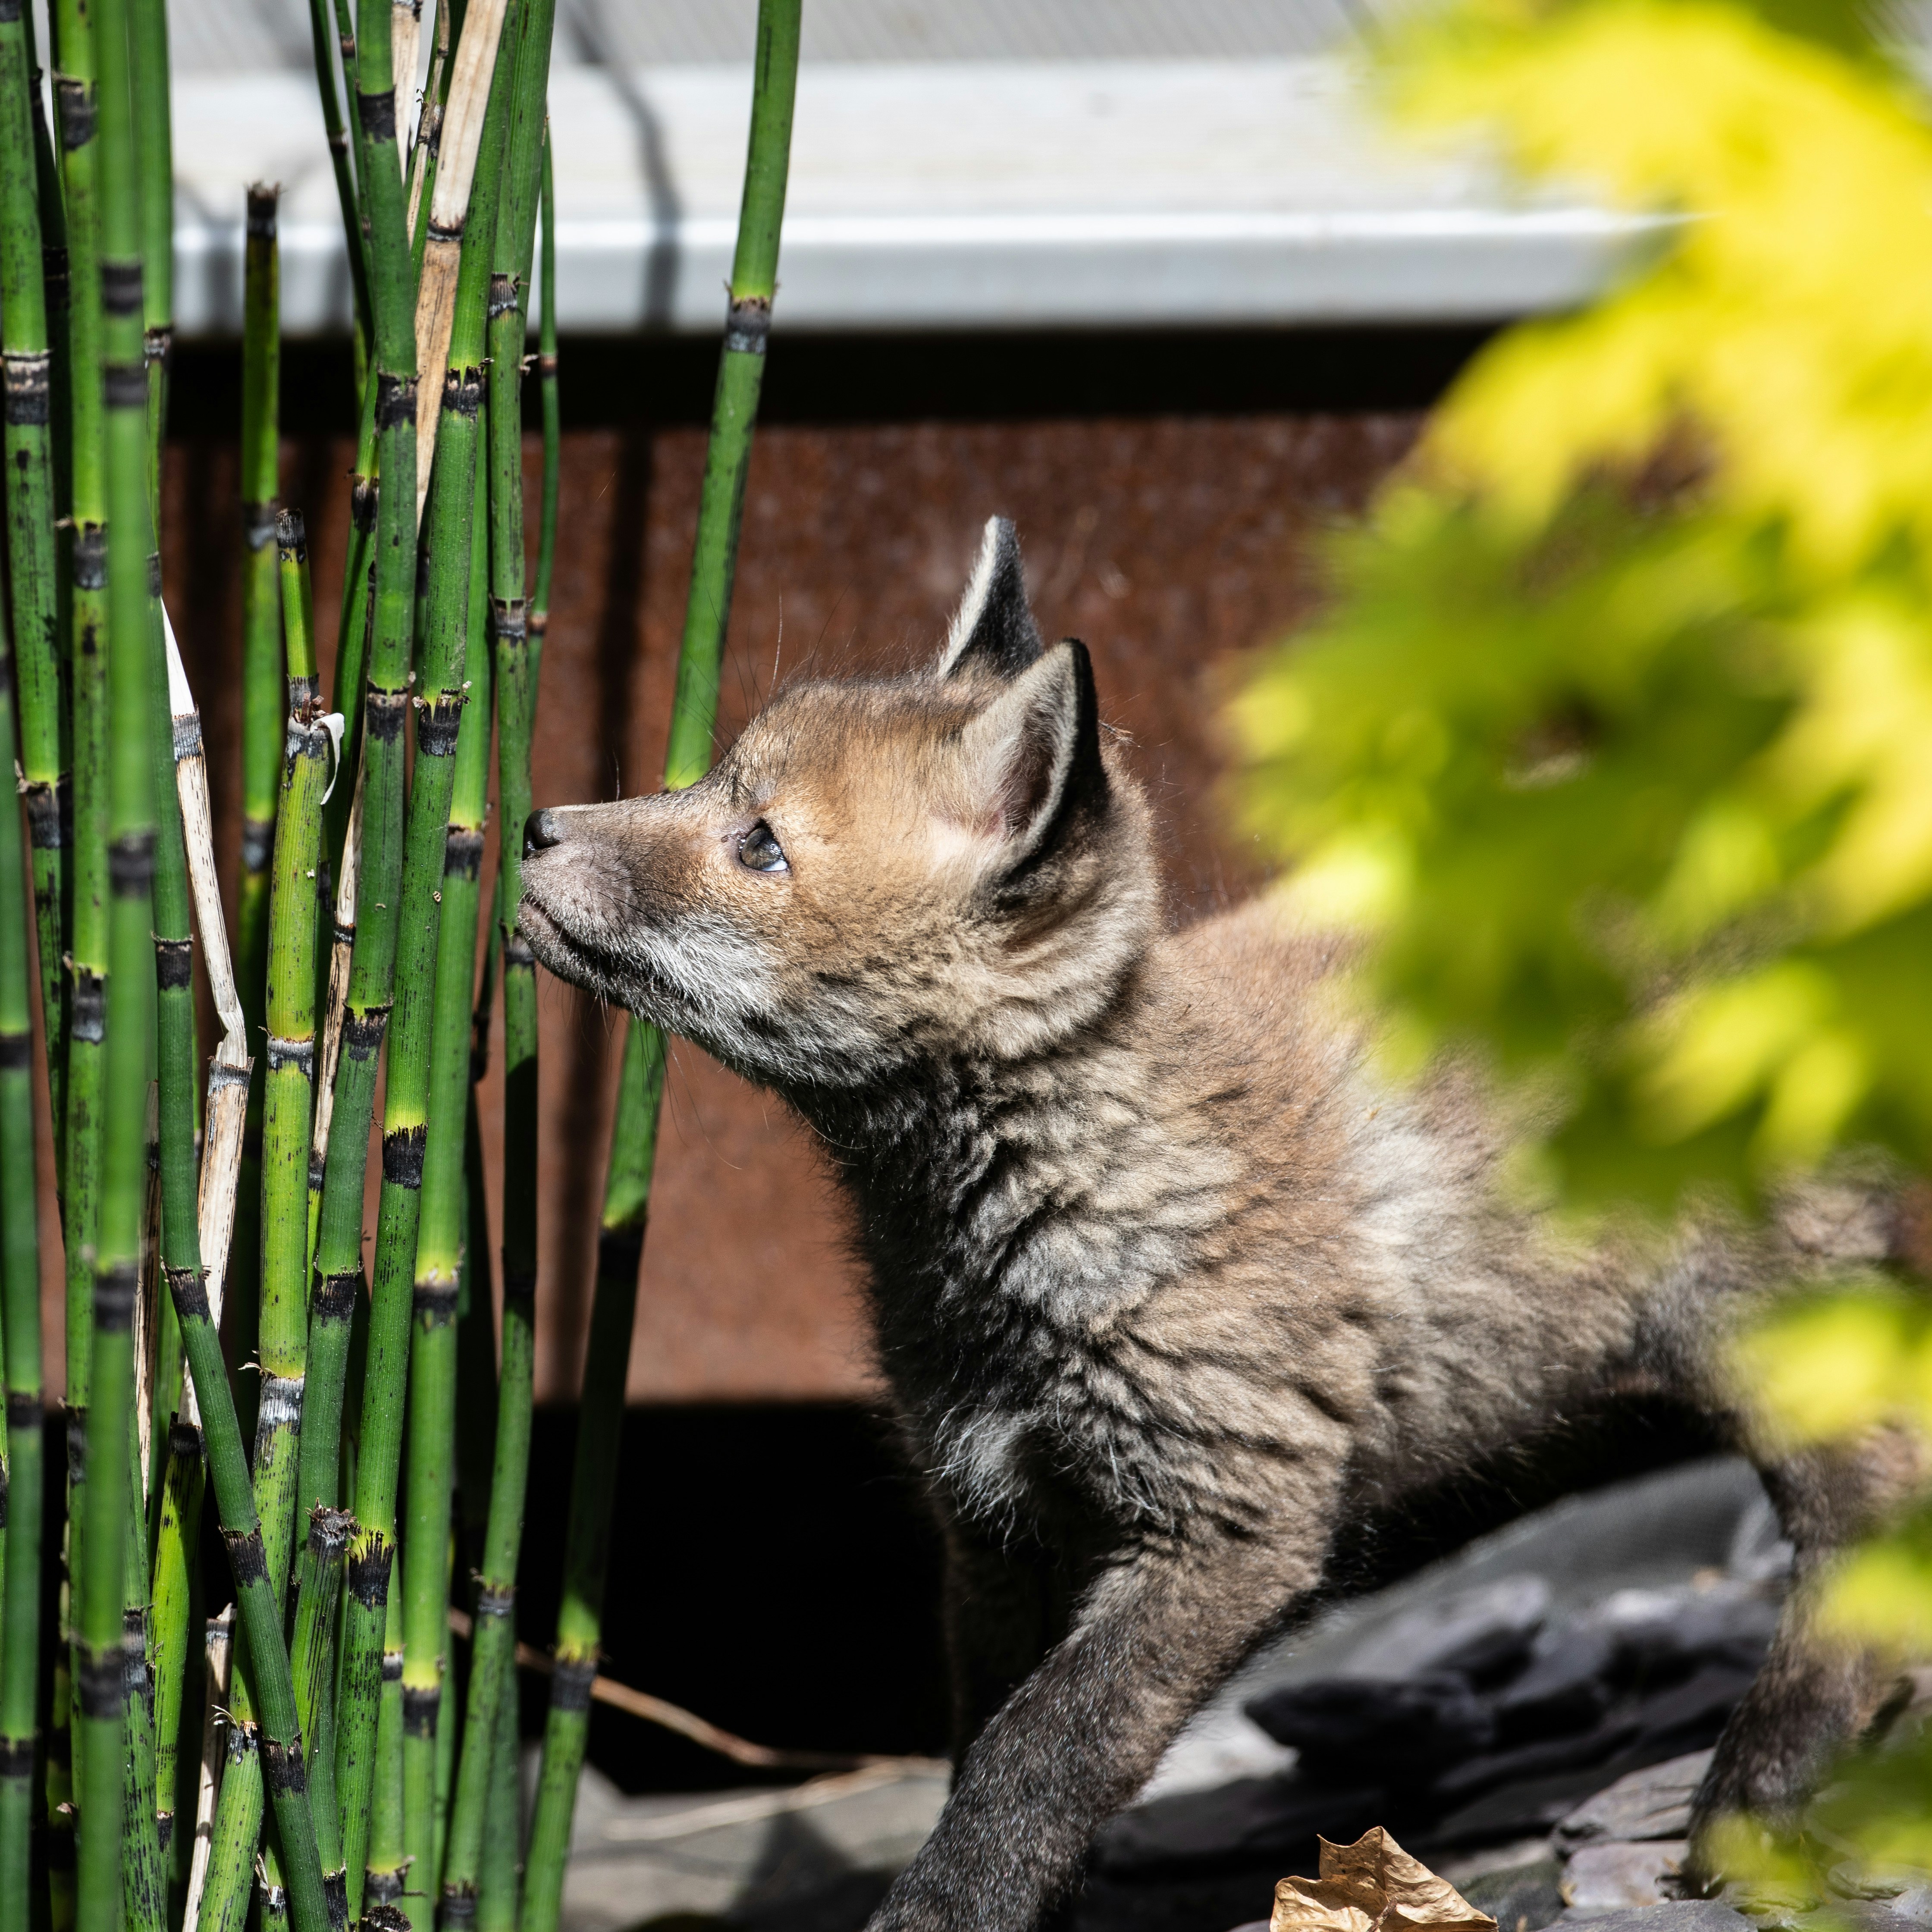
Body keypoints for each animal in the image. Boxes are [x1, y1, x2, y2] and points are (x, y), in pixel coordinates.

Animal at [518, 517, 1923, 1932]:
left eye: (759, 845)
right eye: (714, 785)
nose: (529, 825)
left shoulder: (1229, 1520)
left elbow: (1033, 1762)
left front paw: (942, 1911)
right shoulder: (996, 1524)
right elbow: (990, 1749)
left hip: (1757, 1334)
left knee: (1874, 1506)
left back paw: (1759, 1787)